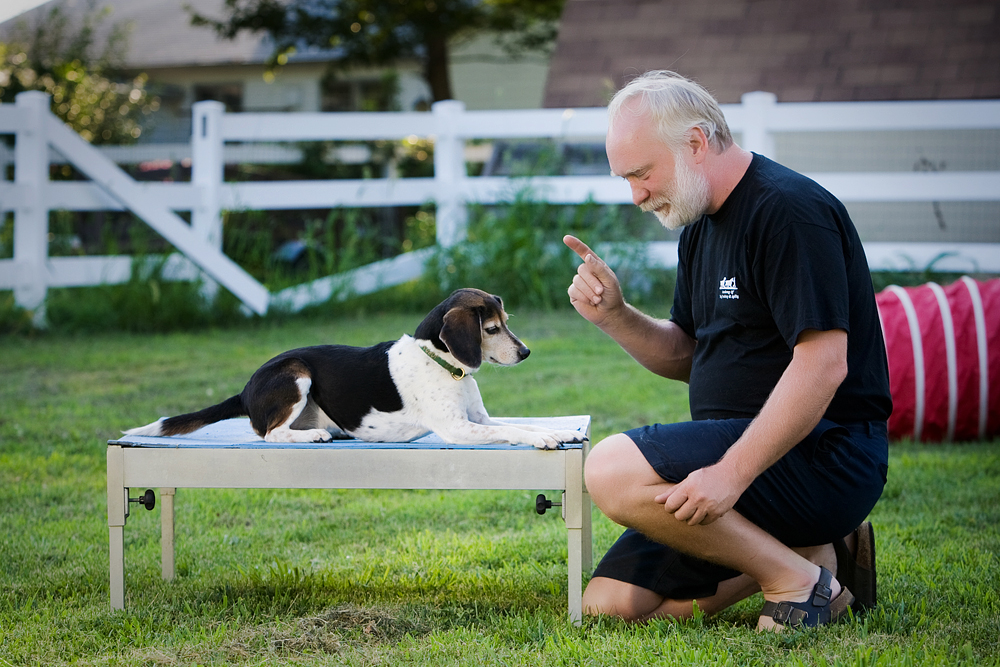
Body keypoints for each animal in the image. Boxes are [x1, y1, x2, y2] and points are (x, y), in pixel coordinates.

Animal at [129, 290, 588, 452]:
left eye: (506, 321)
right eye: (491, 329)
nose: (526, 352)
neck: (441, 363)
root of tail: (245, 389)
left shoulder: (480, 419)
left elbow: (519, 424)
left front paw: (561, 431)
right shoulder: (459, 429)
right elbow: (515, 431)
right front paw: (543, 438)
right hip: (296, 373)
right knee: (269, 433)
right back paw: (313, 435)